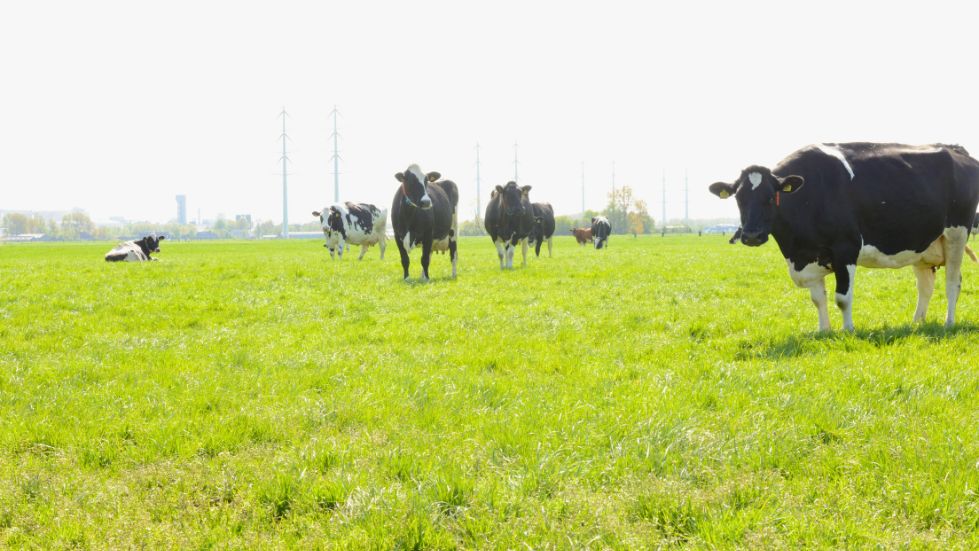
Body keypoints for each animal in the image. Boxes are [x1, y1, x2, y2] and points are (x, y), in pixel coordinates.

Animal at [709, 142, 979, 331]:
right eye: (739, 197)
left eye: (770, 196)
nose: (751, 235)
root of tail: (956, 150)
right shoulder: (809, 256)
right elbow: (818, 299)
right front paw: (824, 330)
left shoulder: (845, 249)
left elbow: (842, 298)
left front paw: (848, 329)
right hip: (924, 245)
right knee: (925, 286)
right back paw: (916, 323)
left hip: (956, 234)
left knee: (952, 283)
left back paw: (948, 323)